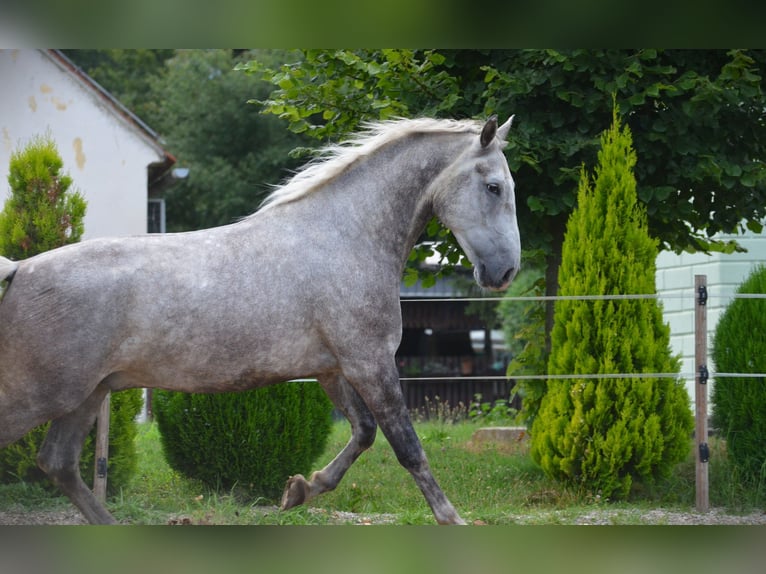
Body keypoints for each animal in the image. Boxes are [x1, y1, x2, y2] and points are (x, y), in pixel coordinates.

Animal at [1, 115, 520, 524]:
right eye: (494, 187)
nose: (505, 271)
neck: (346, 238)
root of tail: (19, 270)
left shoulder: (332, 369)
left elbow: (363, 433)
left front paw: (299, 490)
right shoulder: (370, 361)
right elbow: (407, 447)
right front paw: (452, 519)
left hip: (87, 394)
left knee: (59, 463)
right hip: (43, 395)